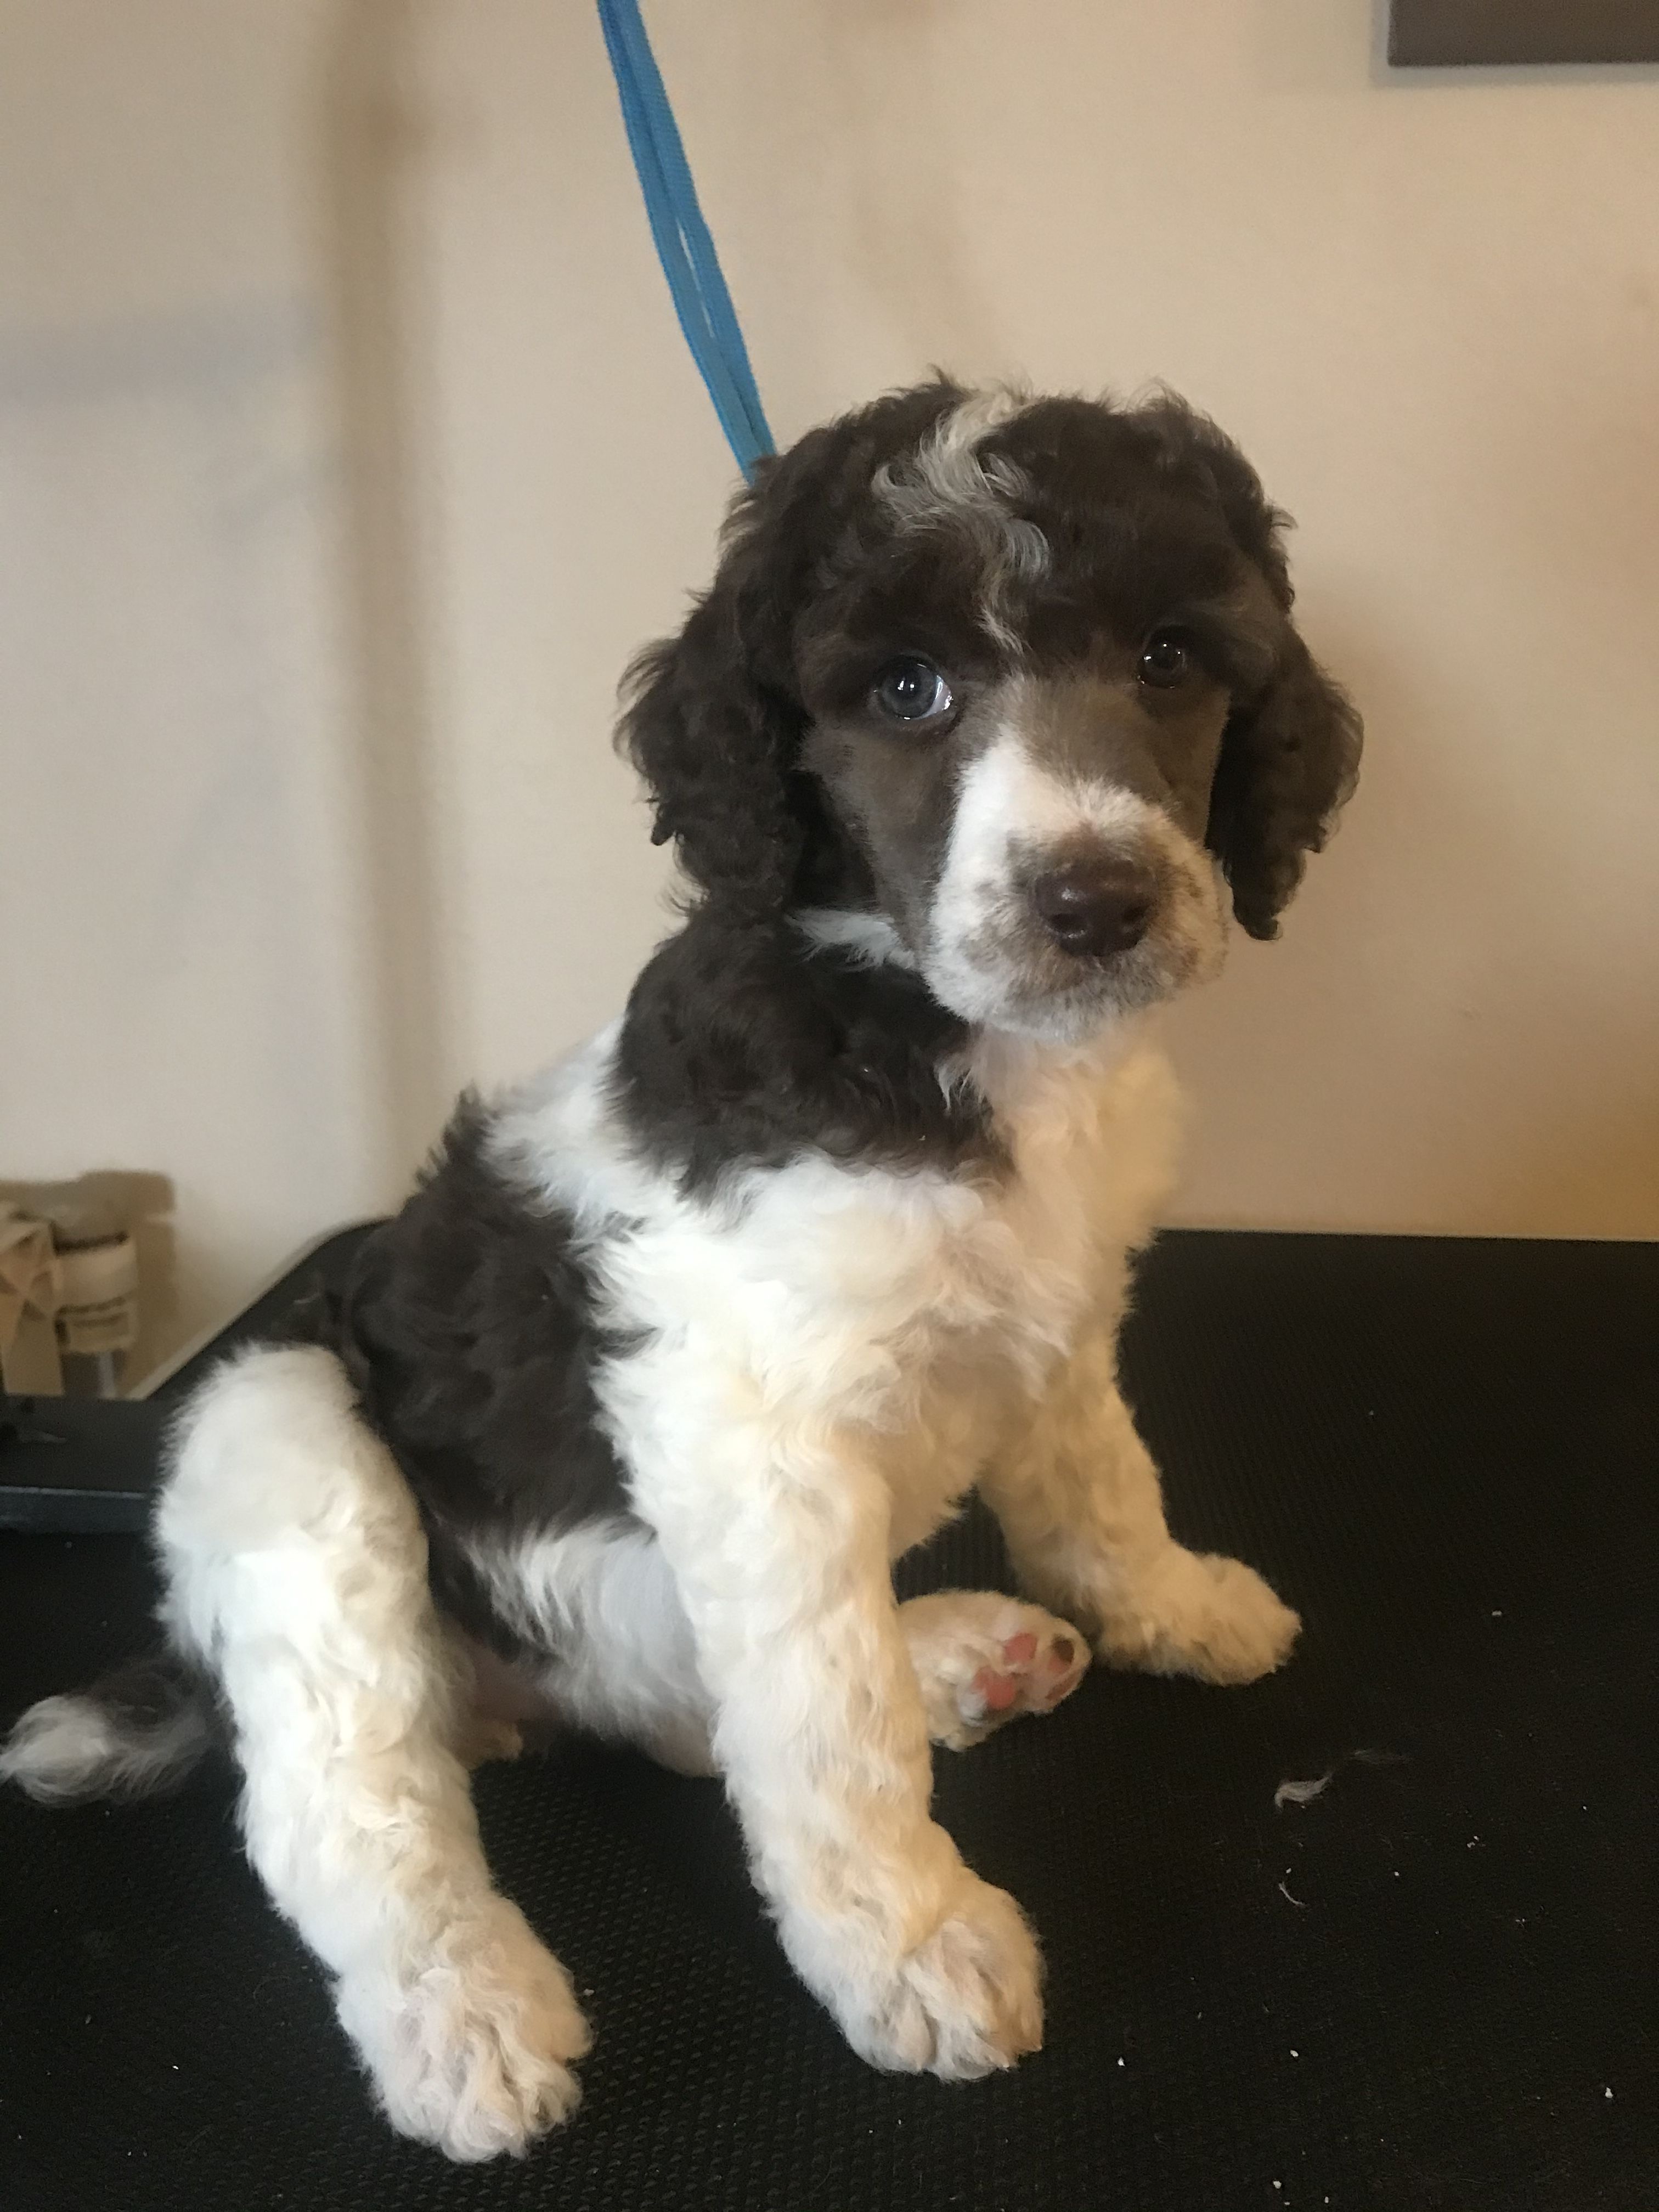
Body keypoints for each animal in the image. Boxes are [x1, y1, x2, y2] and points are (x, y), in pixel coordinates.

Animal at [2, 380, 1360, 2160]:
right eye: (906, 689)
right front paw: (915, 1950)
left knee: (677, 1712)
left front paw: (1172, 1606)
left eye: (1169, 657)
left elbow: (1097, 1490)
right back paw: (464, 2015)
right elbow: (828, 1732)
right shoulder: (750, 1431)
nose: (1096, 904)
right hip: (284, 1434)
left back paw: (958, 1655)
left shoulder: (1058, 1328)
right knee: (353, 1801)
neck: (933, 1032)